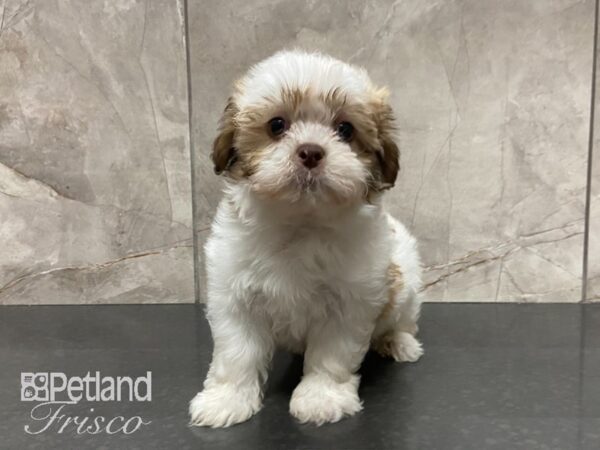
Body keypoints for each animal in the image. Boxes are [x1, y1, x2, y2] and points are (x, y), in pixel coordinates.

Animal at [189, 51, 422, 428]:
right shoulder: (234, 295)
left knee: (403, 320)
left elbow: (331, 356)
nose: (311, 151)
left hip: (406, 286)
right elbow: (237, 352)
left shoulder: (349, 302)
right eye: (276, 125)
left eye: (345, 129)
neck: (301, 222)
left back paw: (399, 343)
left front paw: (320, 398)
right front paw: (226, 400)